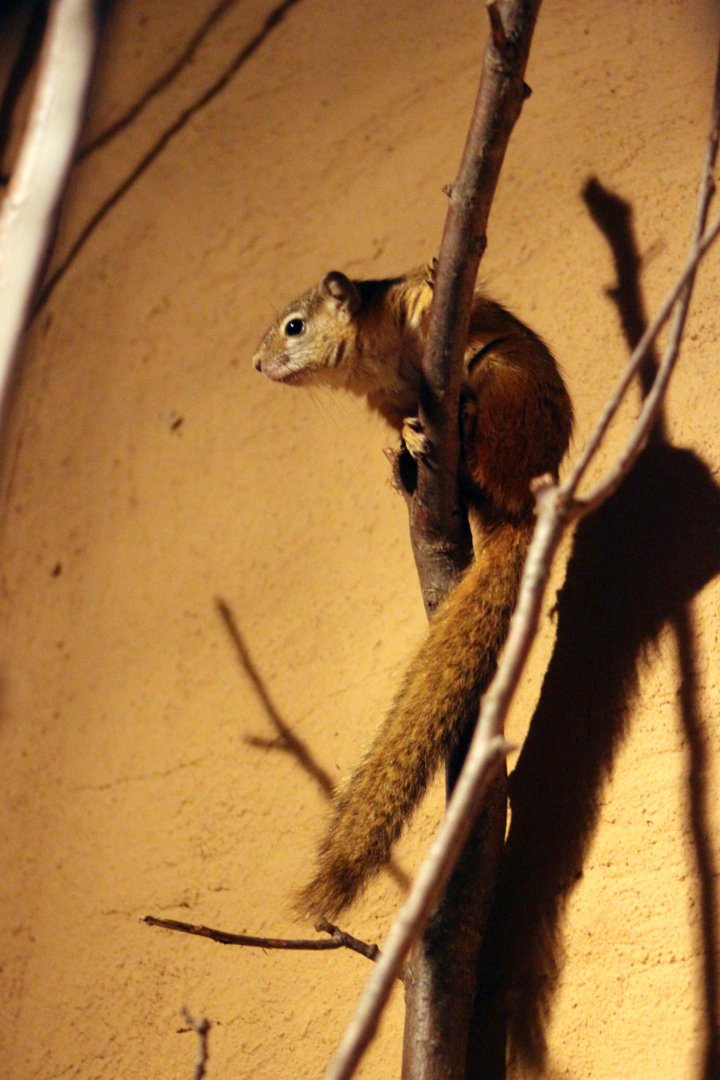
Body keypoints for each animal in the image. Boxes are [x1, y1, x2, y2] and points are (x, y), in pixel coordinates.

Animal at [252, 264, 573, 919]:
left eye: (295, 327)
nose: (256, 362)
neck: (374, 362)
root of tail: (523, 506)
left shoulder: (412, 309)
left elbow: (425, 296)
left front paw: (432, 278)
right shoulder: (383, 400)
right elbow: (397, 415)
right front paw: (405, 435)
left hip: (502, 382)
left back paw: (459, 423)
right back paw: (411, 459)